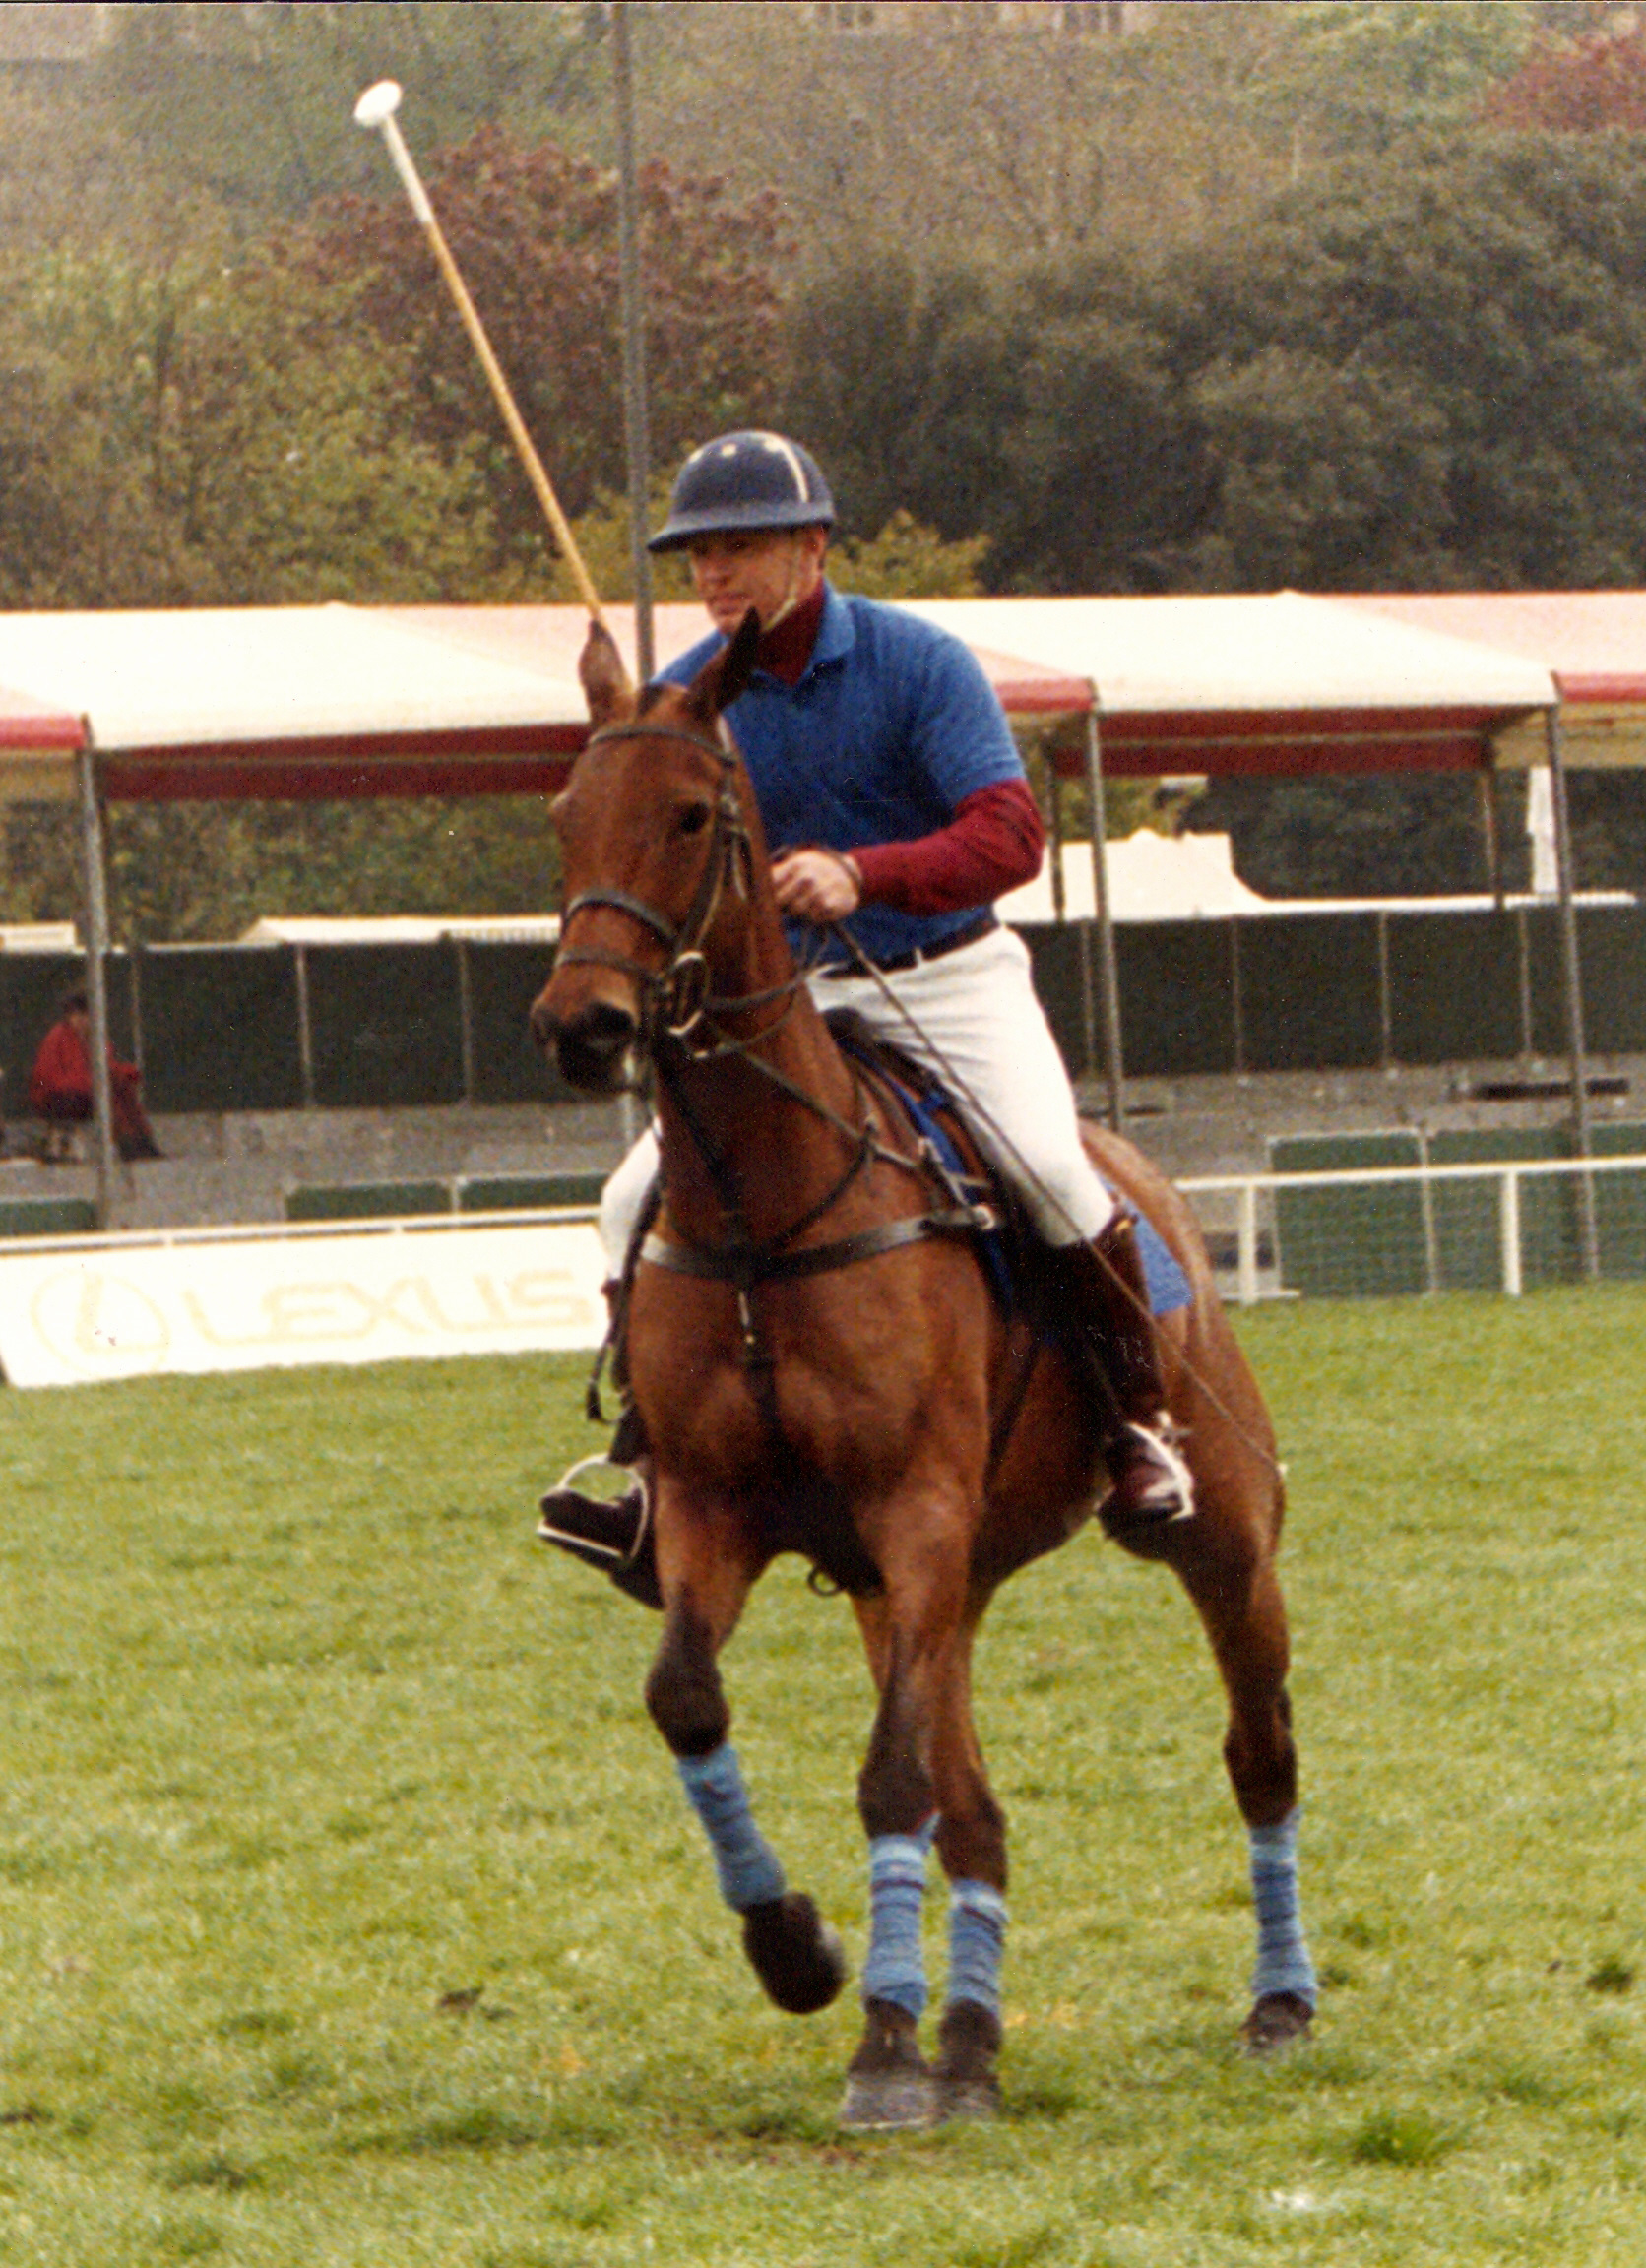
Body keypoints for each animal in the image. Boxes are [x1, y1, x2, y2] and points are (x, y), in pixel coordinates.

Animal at [528, 607, 1314, 2122]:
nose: (582, 1026)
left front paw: (882, 2054)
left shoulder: (918, 1507)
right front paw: (803, 1955)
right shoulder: (727, 1514)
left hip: (1218, 1544)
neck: (765, 1215)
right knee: (980, 1810)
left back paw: (1279, 2002)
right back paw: (972, 2039)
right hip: (926, 1594)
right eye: (563, 814)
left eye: (694, 813)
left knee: (1257, 1754)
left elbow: (891, 1783)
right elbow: (688, 1699)